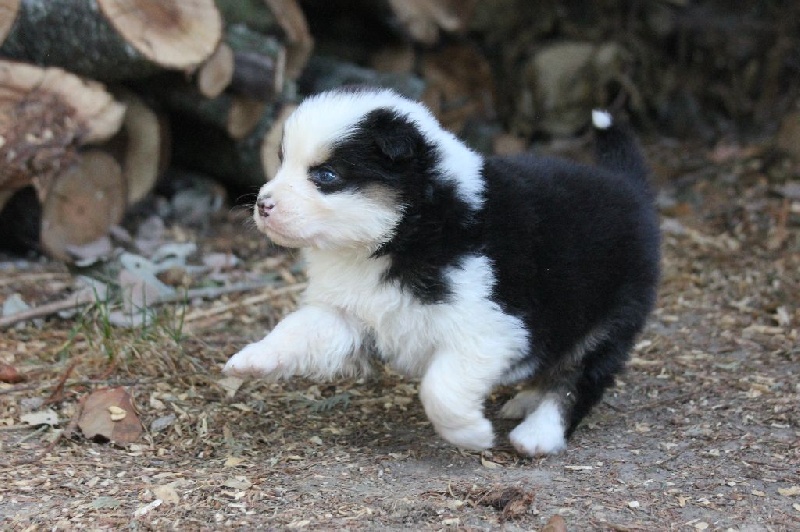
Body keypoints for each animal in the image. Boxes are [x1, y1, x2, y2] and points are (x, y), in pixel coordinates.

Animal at [224, 87, 660, 456]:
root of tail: (628, 185)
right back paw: (527, 400)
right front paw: (251, 359)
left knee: (581, 378)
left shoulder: (489, 327)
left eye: (326, 175)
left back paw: (538, 433)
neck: (398, 235)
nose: (262, 204)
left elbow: (440, 389)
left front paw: (471, 434)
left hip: (612, 316)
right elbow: (297, 329)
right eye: (283, 162)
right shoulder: (347, 311)